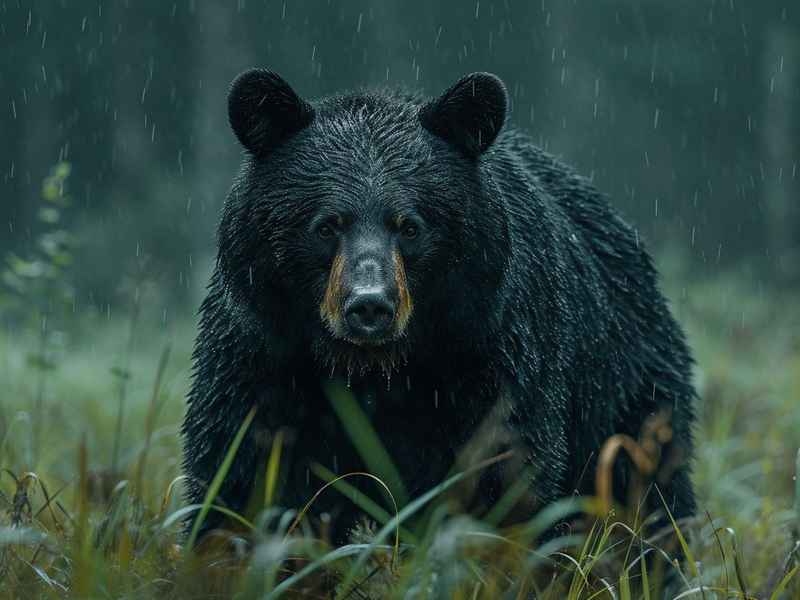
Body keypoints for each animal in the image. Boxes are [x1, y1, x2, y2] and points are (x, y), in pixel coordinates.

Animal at [181, 69, 696, 543]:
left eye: (409, 226)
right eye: (326, 225)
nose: (370, 307)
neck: (373, 369)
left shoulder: (489, 354)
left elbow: (499, 476)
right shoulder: (262, 355)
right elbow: (240, 475)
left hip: (623, 381)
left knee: (647, 494)